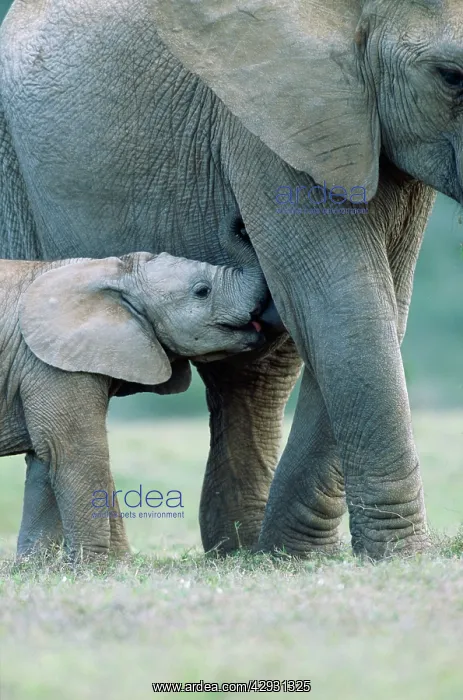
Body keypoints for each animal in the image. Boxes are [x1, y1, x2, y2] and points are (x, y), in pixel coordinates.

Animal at [0, 249, 274, 558]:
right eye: (202, 291)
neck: (116, 272)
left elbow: (45, 457)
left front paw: (35, 565)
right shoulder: (50, 363)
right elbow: (74, 450)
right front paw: (91, 565)